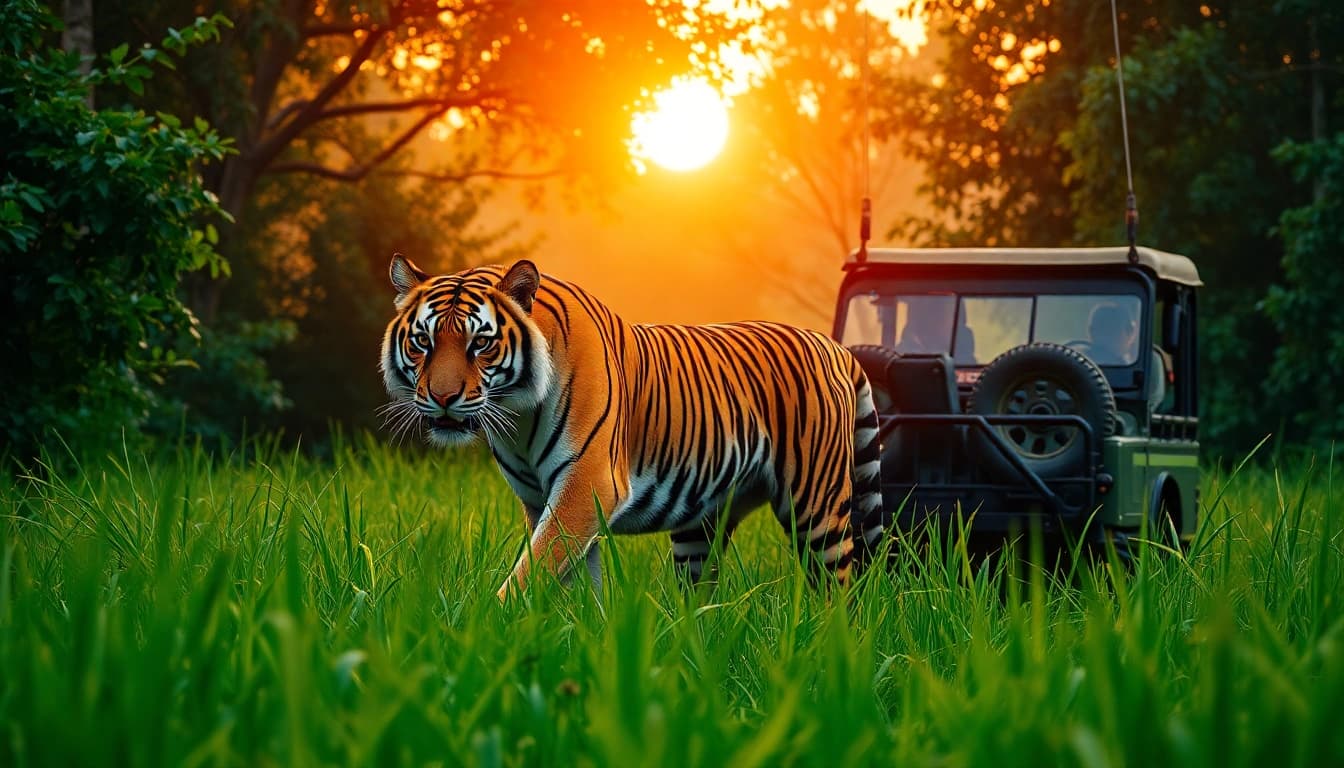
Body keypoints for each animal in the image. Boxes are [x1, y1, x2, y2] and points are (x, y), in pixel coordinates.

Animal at [379, 256, 887, 599]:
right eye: (422, 341)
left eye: (480, 344)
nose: (443, 398)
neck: (517, 417)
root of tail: (833, 346)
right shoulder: (541, 499)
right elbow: (573, 576)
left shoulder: (587, 484)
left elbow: (535, 568)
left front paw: (492, 622)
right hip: (701, 527)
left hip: (817, 508)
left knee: (839, 593)